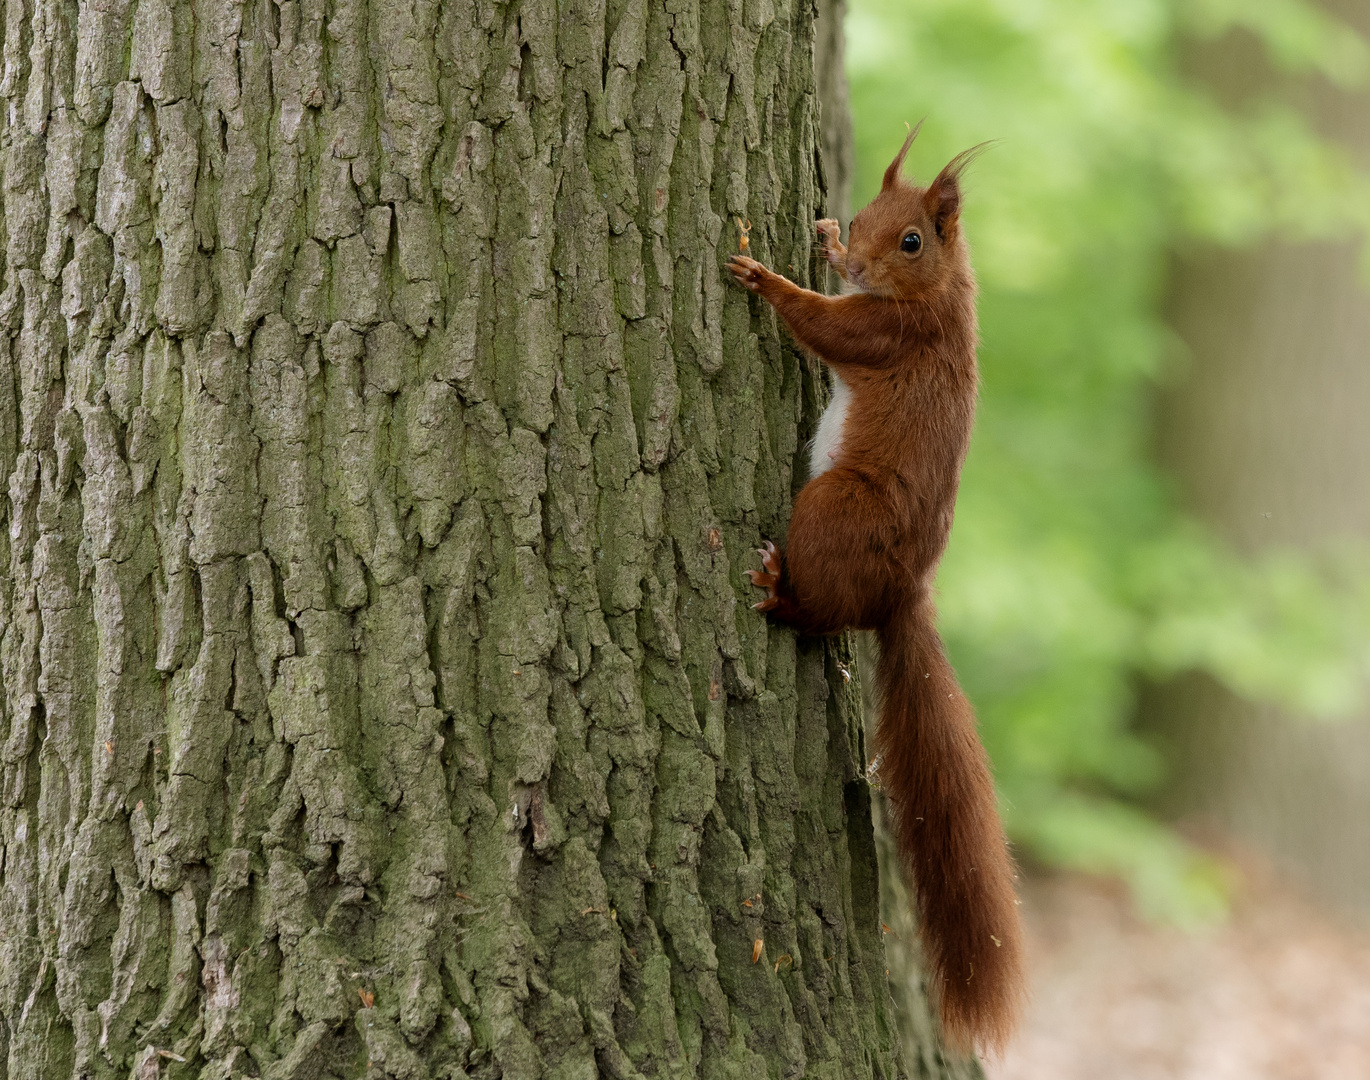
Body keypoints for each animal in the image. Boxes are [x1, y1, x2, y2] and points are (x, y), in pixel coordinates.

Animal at [734, 126, 1024, 1052]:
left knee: (822, 617)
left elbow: (824, 325)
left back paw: (779, 591)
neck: (945, 294)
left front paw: (768, 280)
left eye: (914, 240)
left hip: (832, 509)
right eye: (864, 213)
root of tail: (901, 595)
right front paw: (820, 240)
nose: (854, 253)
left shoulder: (893, 332)